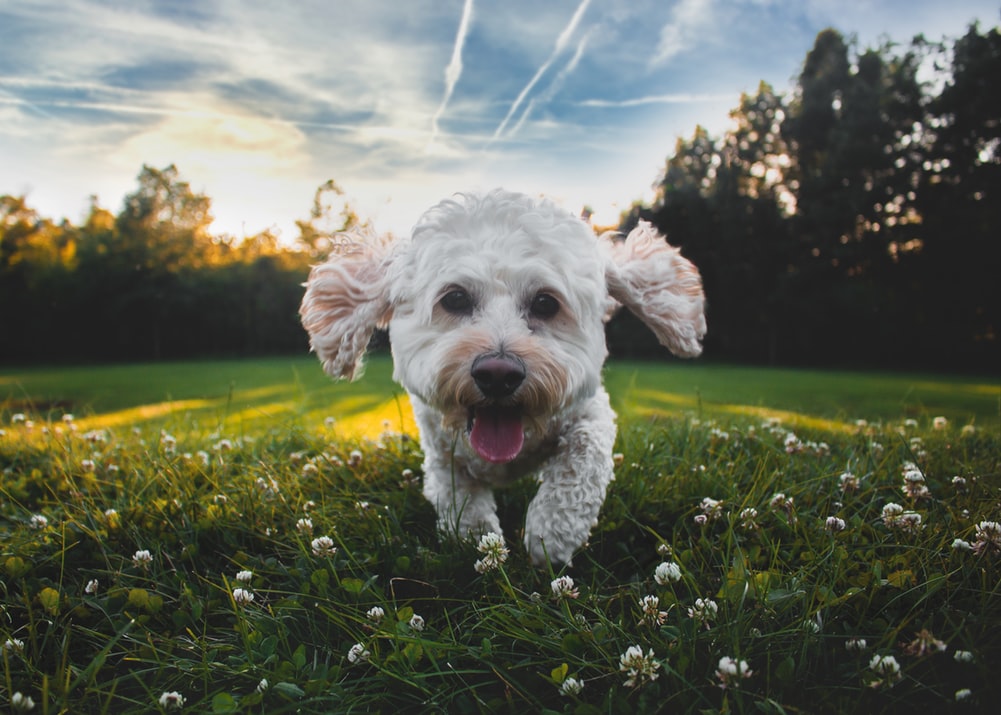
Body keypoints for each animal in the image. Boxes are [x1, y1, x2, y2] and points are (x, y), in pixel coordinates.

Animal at [296, 191, 704, 568]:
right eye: (455, 298)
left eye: (545, 303)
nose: (498, 374)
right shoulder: (441, 453)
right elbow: (460, 499)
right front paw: (480, 541)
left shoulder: (589, 413)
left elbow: (581, 462)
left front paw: (550, 534)